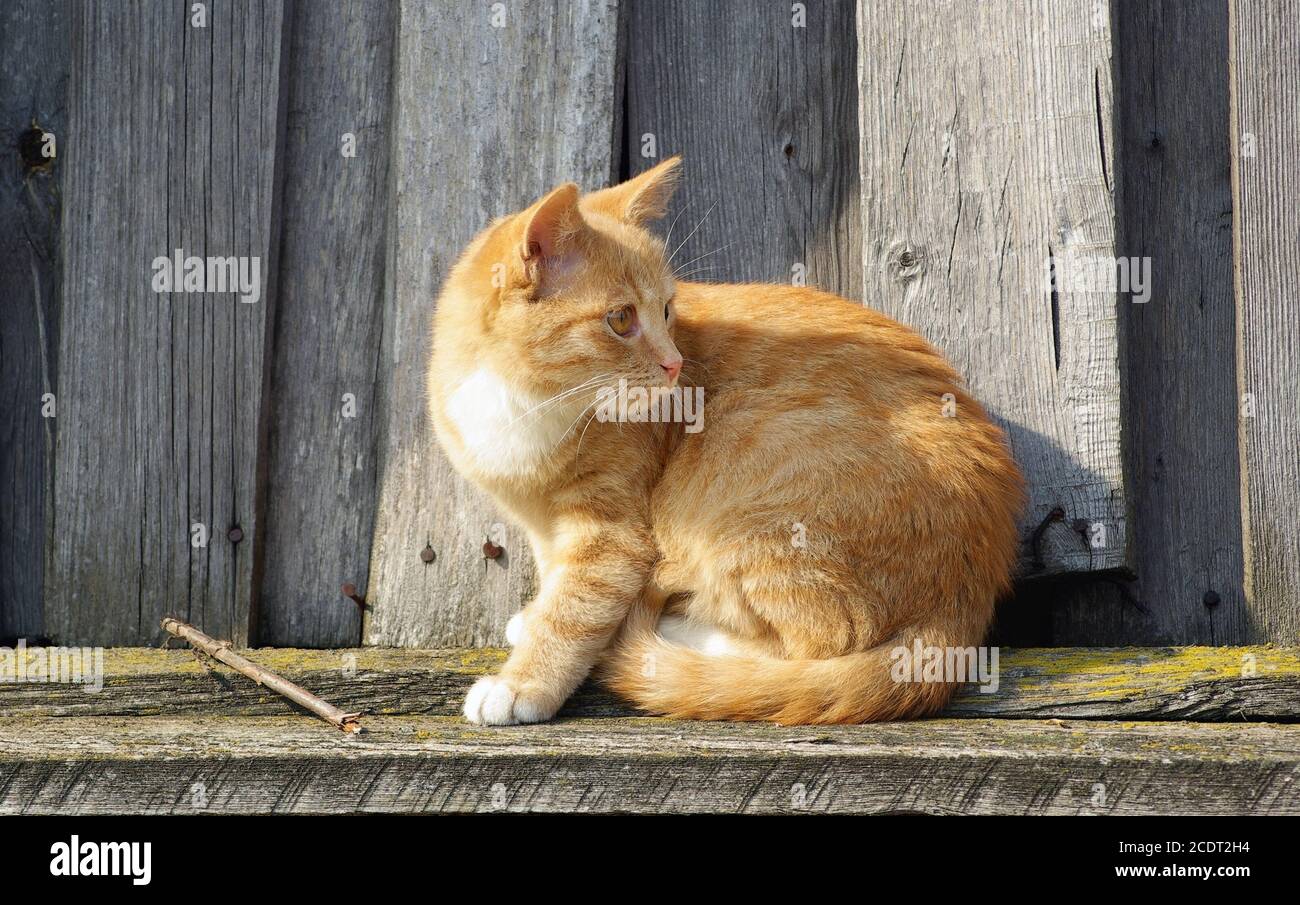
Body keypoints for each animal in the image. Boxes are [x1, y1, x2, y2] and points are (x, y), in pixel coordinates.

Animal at [431, 159, 1019, 728]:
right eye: (621, 319)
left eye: (668, 310)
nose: (675, 365)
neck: (526, 402)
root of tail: (957, 619)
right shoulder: (541, 523)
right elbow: (556, 578)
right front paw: (532, 621)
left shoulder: (613, 534)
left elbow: (576, 608)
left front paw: (522, 683)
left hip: (747, 479)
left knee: (812, 645)